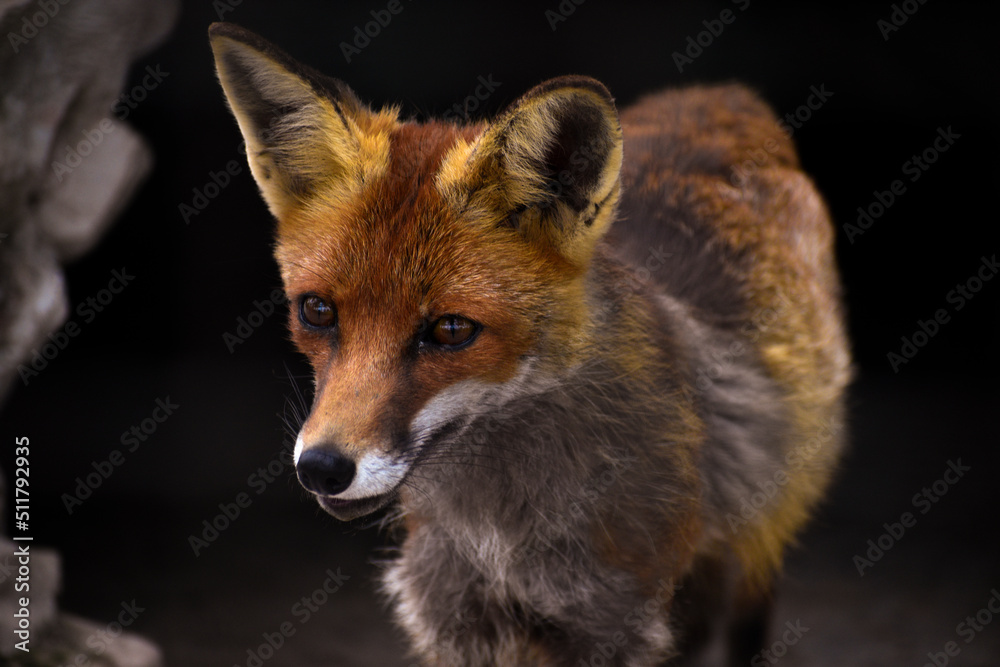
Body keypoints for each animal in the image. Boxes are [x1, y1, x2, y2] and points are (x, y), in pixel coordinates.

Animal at [209, 22, 851, 667]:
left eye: (451, 330)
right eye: (316, 311)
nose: (322, 468)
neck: (501, 540)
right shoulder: (451, 612)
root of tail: (720, 96)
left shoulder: (617, 622)